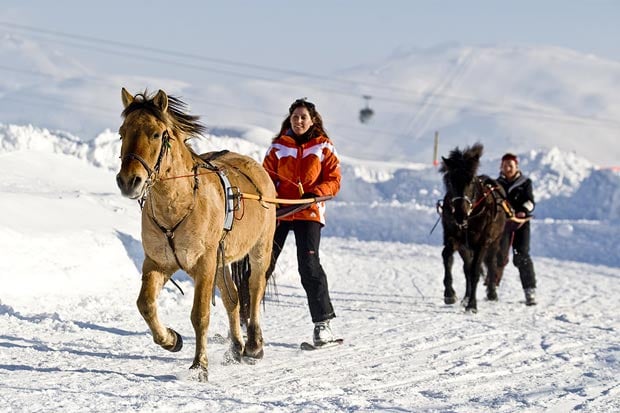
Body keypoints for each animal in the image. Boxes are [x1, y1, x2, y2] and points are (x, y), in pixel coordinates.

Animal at [116, 88, 276, 382]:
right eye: (122, 133)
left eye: (155, 134)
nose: (128, 181)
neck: (177, 203)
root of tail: (256, 167)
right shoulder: (157, 262)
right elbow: (145, 304)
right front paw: (171, 339)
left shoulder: (204, 263)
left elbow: (200, 315)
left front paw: (199, 365)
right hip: (221, 262)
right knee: (233, 299)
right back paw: (235, 348)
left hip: (260, 248)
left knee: (255, 289)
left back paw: (253, 345)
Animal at [438, 143, 506, 310]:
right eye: (450, 180)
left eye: (471, 181)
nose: (460, 215)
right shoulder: (454, 238)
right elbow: (447, 256)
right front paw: (449, 294)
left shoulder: (482, 243)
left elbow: (475, 271)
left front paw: (472, 305)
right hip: (466, 248)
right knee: (467, 268)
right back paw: (466, 297)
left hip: (494, 241)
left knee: (491, 263)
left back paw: (491, 293)